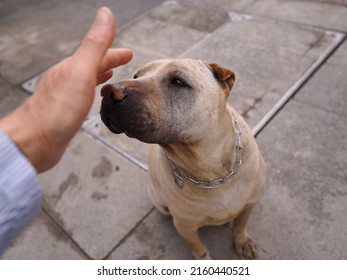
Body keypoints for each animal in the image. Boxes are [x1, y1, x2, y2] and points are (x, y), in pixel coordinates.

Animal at [100, 59, 266, 260]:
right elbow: (197, 245)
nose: (107, 91)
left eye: (178, 82)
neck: (211, 170)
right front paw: (204, 257)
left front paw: (241, 239)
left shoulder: (250, 203)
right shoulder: (185, 225)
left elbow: (241, 223)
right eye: (136, 76)